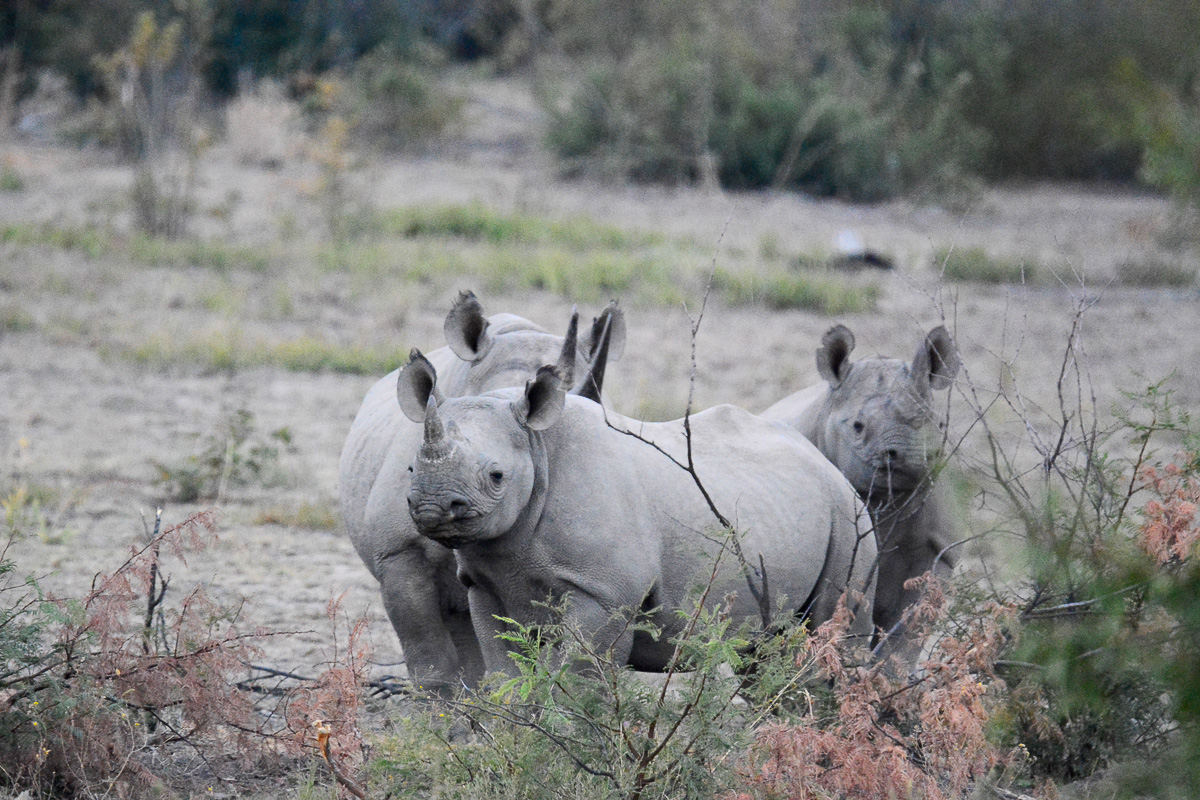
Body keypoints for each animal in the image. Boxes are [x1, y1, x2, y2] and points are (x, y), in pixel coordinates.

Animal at [396, 353, 876, 677]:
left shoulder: (604, 590)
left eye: (496, 476)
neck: (538, 447)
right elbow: (504, 672)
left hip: (848, 513)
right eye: (411, 469)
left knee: (834, 625)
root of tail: (825, 461)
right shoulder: (486, 581)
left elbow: (577, 676)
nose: (434, 507)